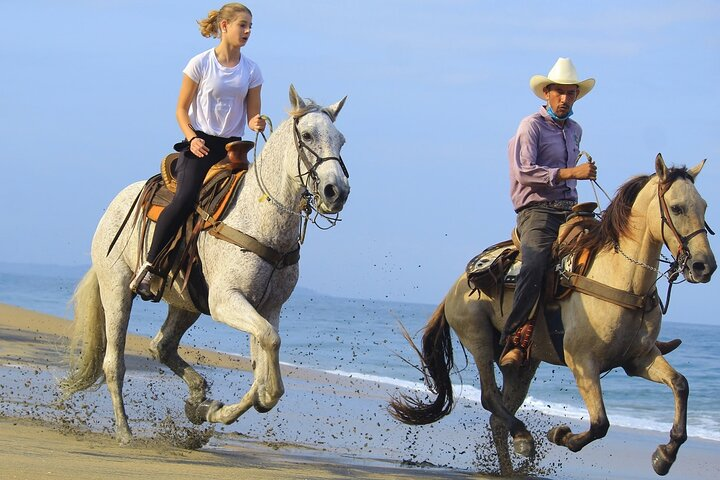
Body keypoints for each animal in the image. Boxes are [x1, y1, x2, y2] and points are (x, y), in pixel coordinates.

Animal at [63, 85, 350, 442]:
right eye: (308, 135)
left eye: (341, 140)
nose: (337, 192)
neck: (261, 218)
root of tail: (114, 205)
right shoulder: (226, 300)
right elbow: (269, 349)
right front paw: (218, 410)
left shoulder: (268, 308)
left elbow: (266, 376)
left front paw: (210, 410)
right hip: (116, 289)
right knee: (113, 363)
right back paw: (125, 431)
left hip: (185, 302)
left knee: (162, 345)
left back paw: (197, 396)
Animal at [390, 155, 716, 476]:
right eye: (677, 207)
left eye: (704, 207)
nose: (704, 266)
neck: (621, 279)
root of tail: (453, 289)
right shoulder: (582, 361)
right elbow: (600, 423)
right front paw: (561, 435)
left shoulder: (639, 358)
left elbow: (680, 384)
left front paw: (665, 455)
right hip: (477, 337)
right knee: (489, 397)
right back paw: (523, 437)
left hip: (523, 365)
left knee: (498, 416)